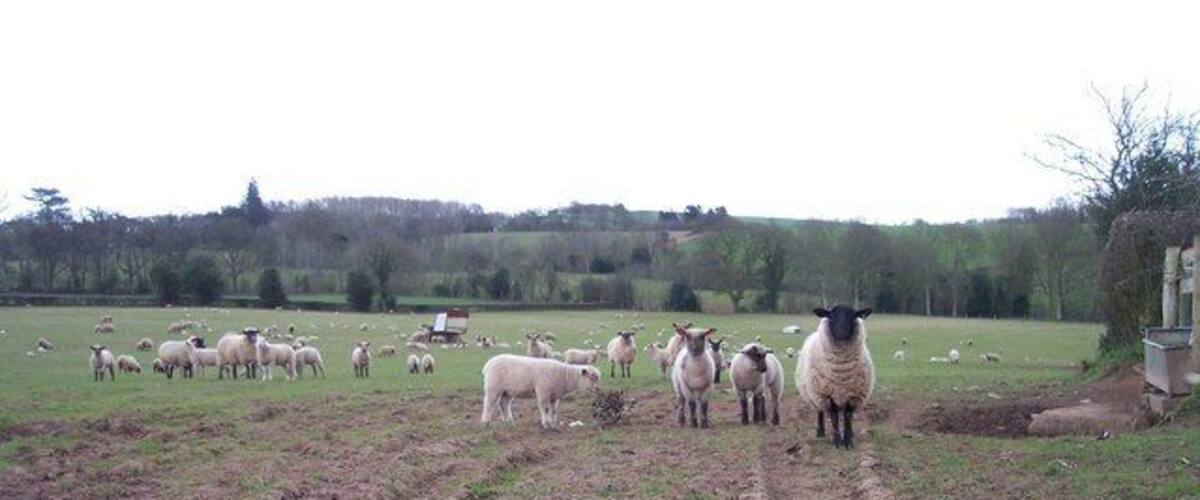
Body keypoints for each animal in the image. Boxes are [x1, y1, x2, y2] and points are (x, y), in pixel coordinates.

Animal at [794, 306, 875, 448]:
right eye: (831, 315)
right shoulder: (826, 395)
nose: (841, 332)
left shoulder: (853, 395)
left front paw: (847, 441)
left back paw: (851, 433)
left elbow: (847, 416)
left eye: (854, 315)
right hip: (815, 396)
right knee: (820, 412)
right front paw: (837, 442)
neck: (841, 373)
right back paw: (820, 432)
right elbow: (834, 417)